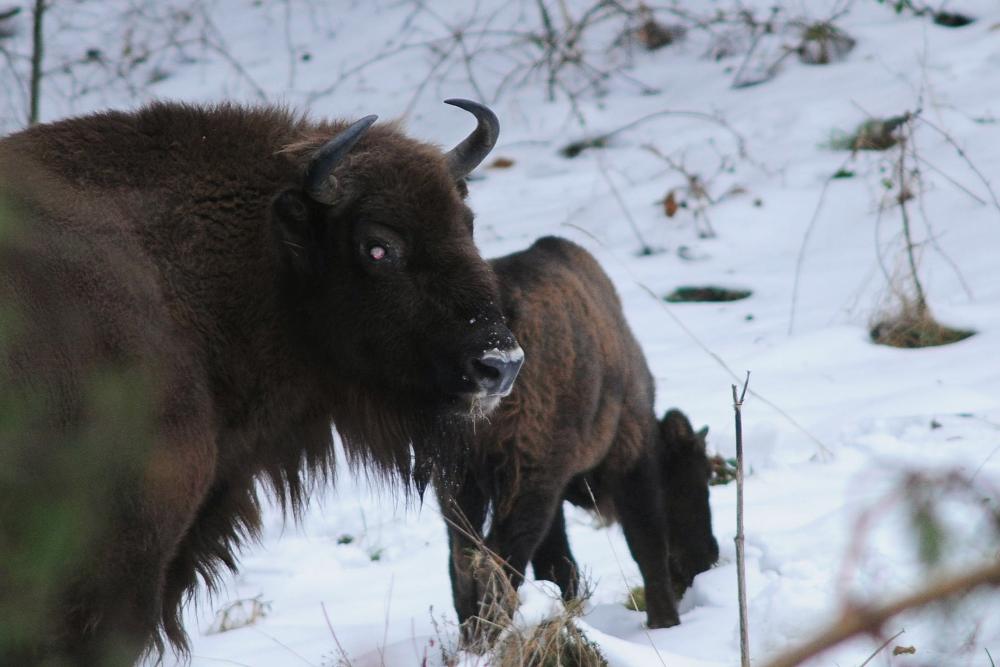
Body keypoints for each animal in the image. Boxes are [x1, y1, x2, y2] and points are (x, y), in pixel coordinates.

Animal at [434, 237, 716, 640]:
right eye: (697, 475)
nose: (708, 556)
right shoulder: (628, 458)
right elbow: (646, 544)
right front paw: (665, 622)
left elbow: (559, 564)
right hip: (524, 479)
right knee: (496, 561)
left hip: (458, 483)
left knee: (463, 560)